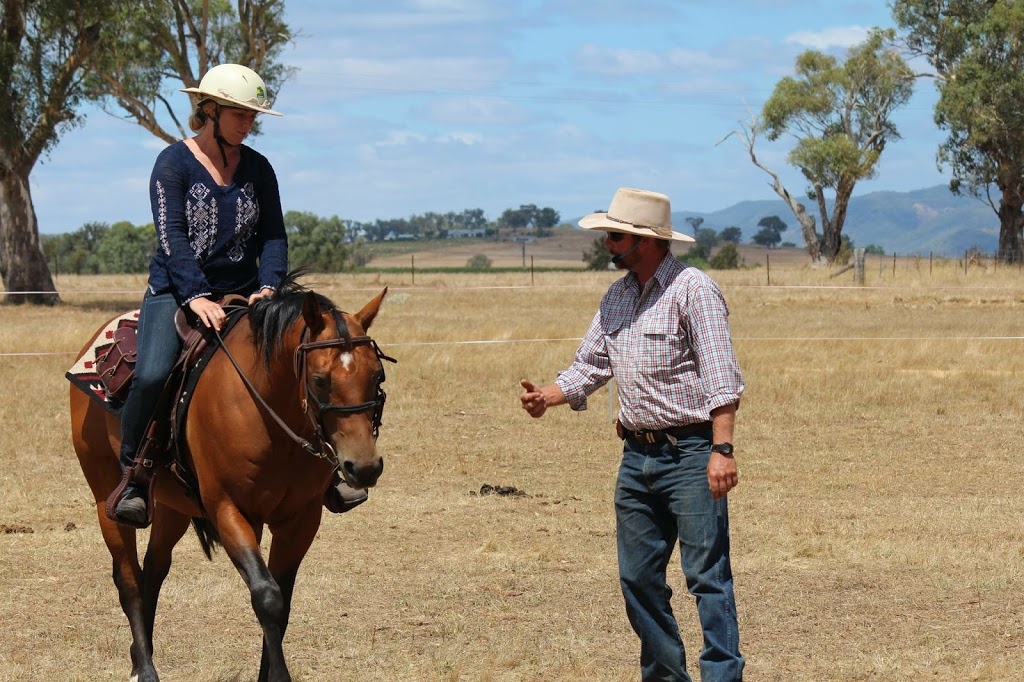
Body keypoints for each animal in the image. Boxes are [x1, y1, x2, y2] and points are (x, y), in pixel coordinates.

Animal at [69, 272, 395, 679]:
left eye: (377, 375)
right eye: (320, 379)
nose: (364, 467)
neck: (267, 411)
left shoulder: (301, 519)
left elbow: (283, 602)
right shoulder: (230, 511)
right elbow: (267, 596)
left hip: (173, 507)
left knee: (153, 571)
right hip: (105, 498)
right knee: (128, 580)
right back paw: (144, 668)